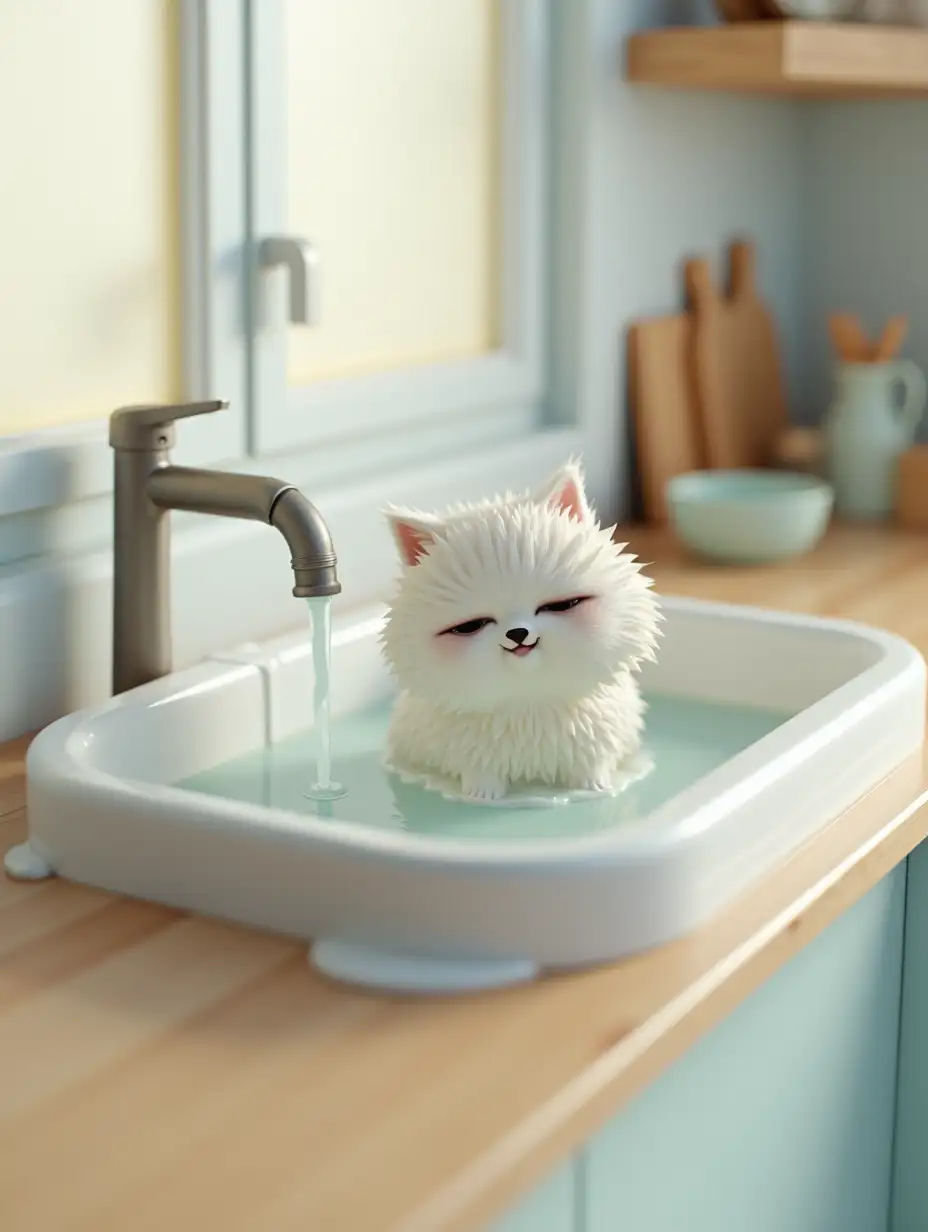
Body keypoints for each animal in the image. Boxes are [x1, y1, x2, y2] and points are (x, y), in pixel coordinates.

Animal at [377, 458, 660, 803]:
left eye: (561, 605)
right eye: (471, 626)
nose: (517, 633)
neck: (529, 705)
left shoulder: (595, 746)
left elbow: (590, 772)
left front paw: (595, 788)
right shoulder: (474, 758)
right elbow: (481, 777)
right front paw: (482, 796)